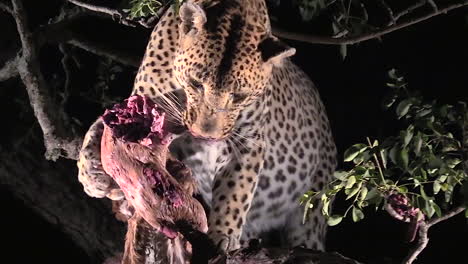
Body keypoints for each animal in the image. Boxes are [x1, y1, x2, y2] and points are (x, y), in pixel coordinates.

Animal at [78, 0, 338, 253]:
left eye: (239, 96)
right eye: (196, 83)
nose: (206, 135)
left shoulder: (249, 141)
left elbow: (236, 190)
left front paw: (223, 234)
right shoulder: (143, 101)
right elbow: (100, 127)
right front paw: (91, 174)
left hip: (312, 208)